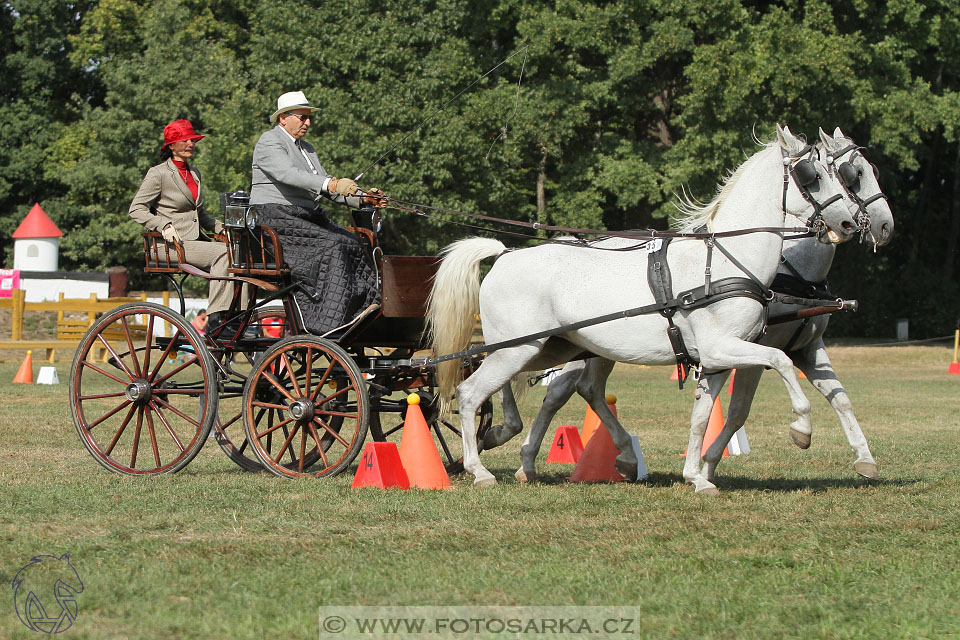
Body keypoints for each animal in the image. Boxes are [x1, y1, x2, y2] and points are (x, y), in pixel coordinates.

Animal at [424, 125, 860, 490]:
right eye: (810, 174)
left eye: (841, 174)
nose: (850, 222)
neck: (725, 261)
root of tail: (505, 254)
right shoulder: (725, 347)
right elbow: (781, 362)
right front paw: (801, 429)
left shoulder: (717, 359)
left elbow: (703, 415)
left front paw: (697, 476)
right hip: (520, 347)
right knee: (469, 392)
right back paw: (479, 469)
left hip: (546, 347)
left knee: (510, 383)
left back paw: (507, 435)